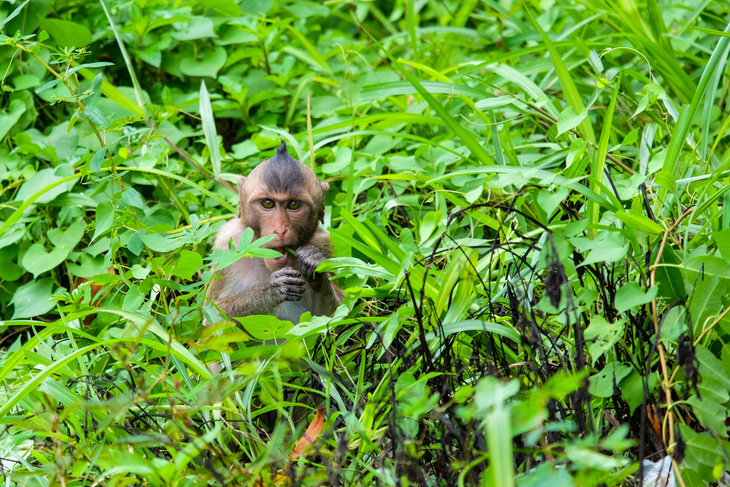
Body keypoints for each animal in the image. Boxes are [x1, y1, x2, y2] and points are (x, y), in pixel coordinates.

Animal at [203, 141, 342, 326]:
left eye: (293, 205)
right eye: (268, 203)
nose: (280, 229)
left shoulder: (323, 243)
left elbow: (335, 319)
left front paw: (313, 263)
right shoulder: (226, 245)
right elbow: (212, 318)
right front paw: (270, 290)